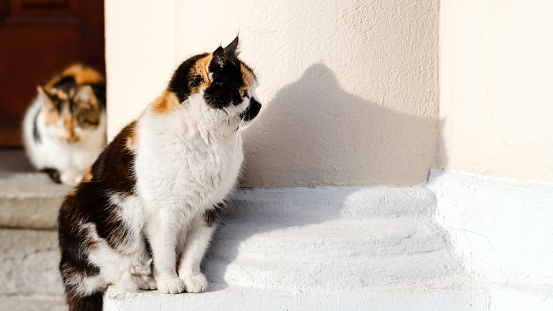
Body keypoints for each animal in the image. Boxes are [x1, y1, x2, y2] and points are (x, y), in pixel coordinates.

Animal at [58, 37, 260, 311]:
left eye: (255, 91)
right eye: (242, 93)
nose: (259, 105)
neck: (208, 140)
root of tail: (66, 264)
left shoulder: (209, 209)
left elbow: (195, 249)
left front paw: (190, 278)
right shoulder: (163, 213)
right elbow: (164, 251)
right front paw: (169, 281)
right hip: (82, 211)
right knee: (114, 269)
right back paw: (146, 280)